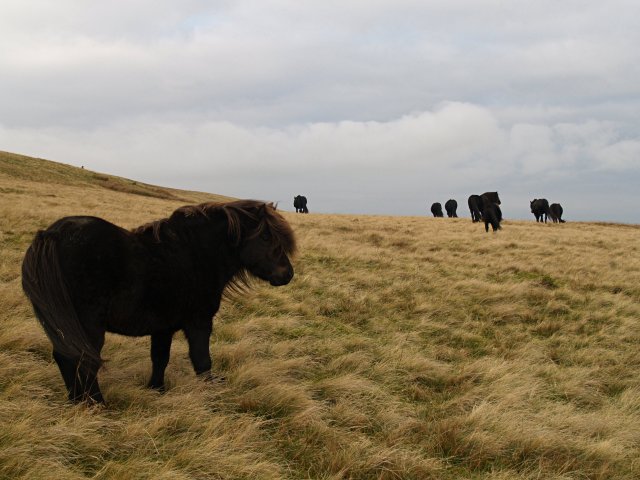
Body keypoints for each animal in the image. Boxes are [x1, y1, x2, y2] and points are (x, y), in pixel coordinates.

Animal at [21, 200, 298, 404]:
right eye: (265, 237)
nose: (287, 275)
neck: (196, 254)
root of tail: (51, 234)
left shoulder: (163, 327)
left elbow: (160, 359)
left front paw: (157, 390)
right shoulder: (198, 323)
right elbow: (202, 361)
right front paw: (210, 394)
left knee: (67, 358)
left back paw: (76, 401)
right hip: (86, 325)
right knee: (83, 361)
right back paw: (97, 404)